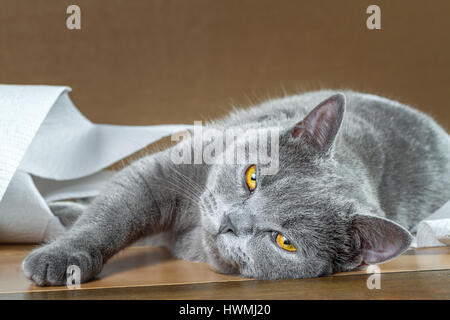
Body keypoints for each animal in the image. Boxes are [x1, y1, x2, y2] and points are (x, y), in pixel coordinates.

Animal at [22, 90, 450, 284]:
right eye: (253, 176)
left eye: (284, 242)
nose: (231, 221)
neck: (188, 231)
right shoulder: (160, 173)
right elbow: (111, 217)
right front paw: (60, 259)